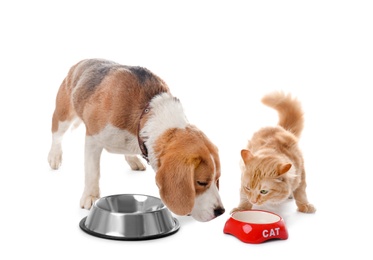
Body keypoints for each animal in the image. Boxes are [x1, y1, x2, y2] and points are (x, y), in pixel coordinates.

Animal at [48, 59, 225, 221]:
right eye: (201, 182)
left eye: (218, 179)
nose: (220, 211)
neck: (145, 114)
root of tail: (80, 63)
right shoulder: (93, 139)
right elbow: (93, 172)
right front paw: (90, 196)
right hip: (63, 116)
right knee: (56, 135)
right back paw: (54, 157)